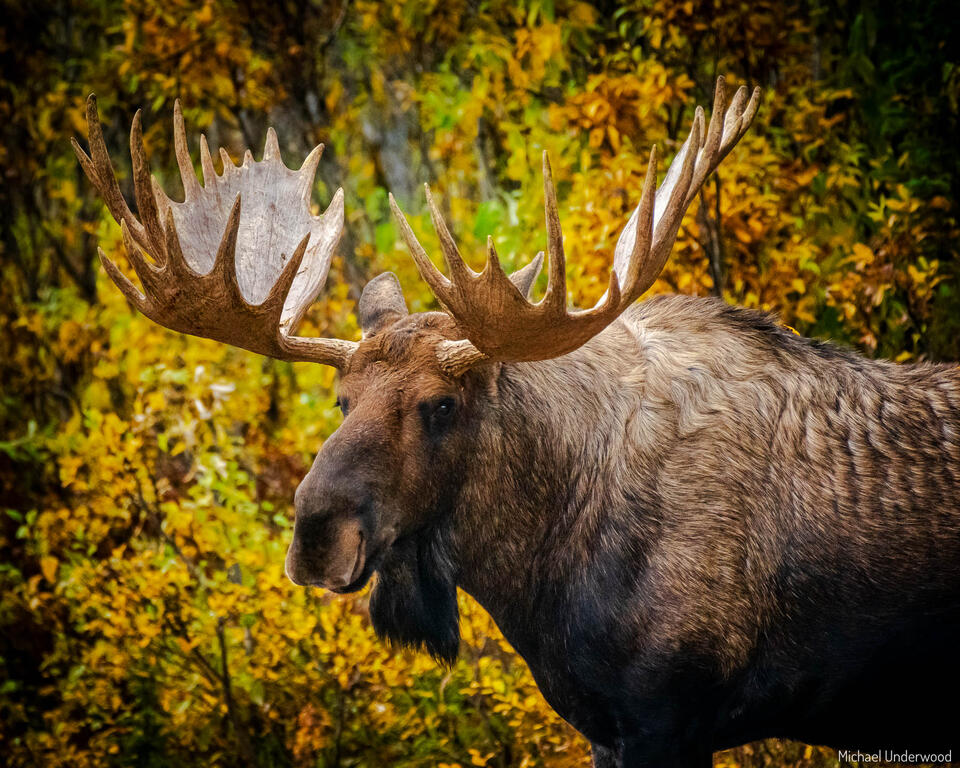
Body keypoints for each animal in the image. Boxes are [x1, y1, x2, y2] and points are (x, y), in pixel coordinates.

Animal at [73, 79, 960, 767]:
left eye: (441, 405)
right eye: (340, 399)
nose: (318, 536)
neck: (540, 572)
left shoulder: (670, 714)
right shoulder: (606, 725)